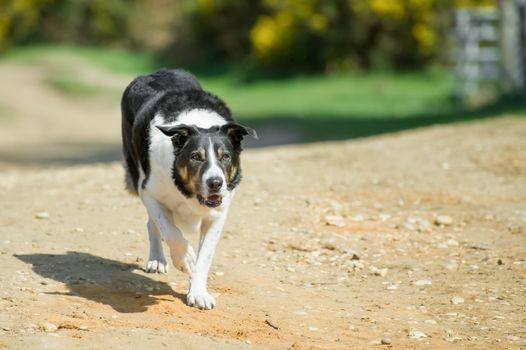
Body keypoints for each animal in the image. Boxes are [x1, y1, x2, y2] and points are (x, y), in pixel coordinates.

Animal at [121, 68, 258, 308]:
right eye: (195, 157)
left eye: (225, 156)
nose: (215, 183)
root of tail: (157, 72)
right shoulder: (150, 192)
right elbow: (170, 230)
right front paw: (185, 259)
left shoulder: (217, 213)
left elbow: (205, 256)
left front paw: (198, 292)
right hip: (136, 171)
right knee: (153, 223)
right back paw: (157, 259)